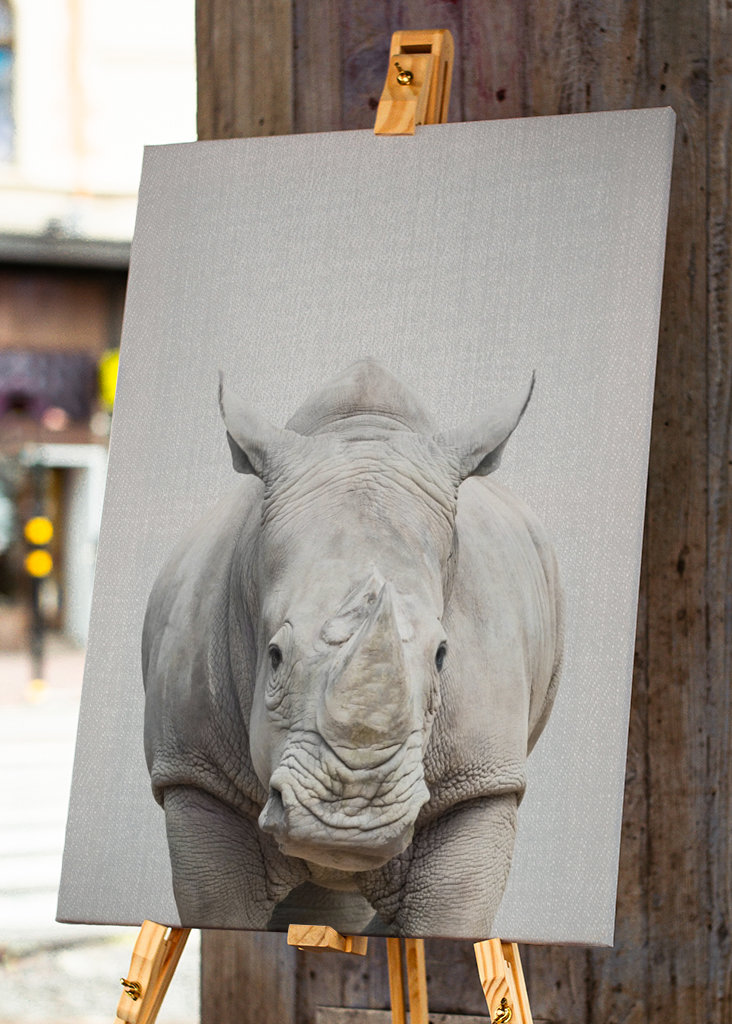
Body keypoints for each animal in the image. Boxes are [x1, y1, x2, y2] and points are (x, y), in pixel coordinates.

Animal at [142, 359, 563, 938]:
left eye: (442, 657)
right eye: (273, 656)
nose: (348, 823)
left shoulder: (482, 781)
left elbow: (449, 915)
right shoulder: (195, 771)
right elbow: (220, 910)